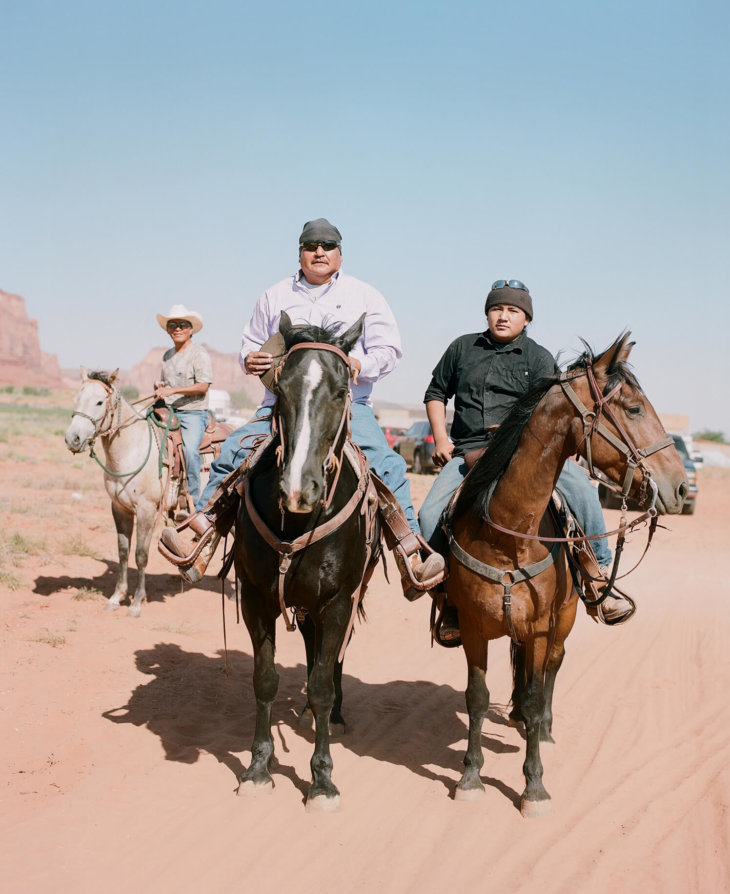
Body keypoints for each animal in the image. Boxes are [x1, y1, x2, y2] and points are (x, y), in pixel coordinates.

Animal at [233, 314, 382, 812]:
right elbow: (264, 680)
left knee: (332, 660)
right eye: (281, 388)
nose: (299, 488)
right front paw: (258, 768)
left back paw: (333, 715)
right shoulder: (256, 599)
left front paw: (322, 780)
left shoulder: (337, 602)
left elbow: (319, 684)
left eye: (340, 391)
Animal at [444, 336, 688, 820]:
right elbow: (476, 697)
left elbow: (538, 696)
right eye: (634, 408)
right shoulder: (475, 628)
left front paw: (534, 787)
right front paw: (470, 777)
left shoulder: (542, 627)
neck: (507, 535)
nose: (680, 487)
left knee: (551, 671)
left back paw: (542, 730)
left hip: (565, 620)